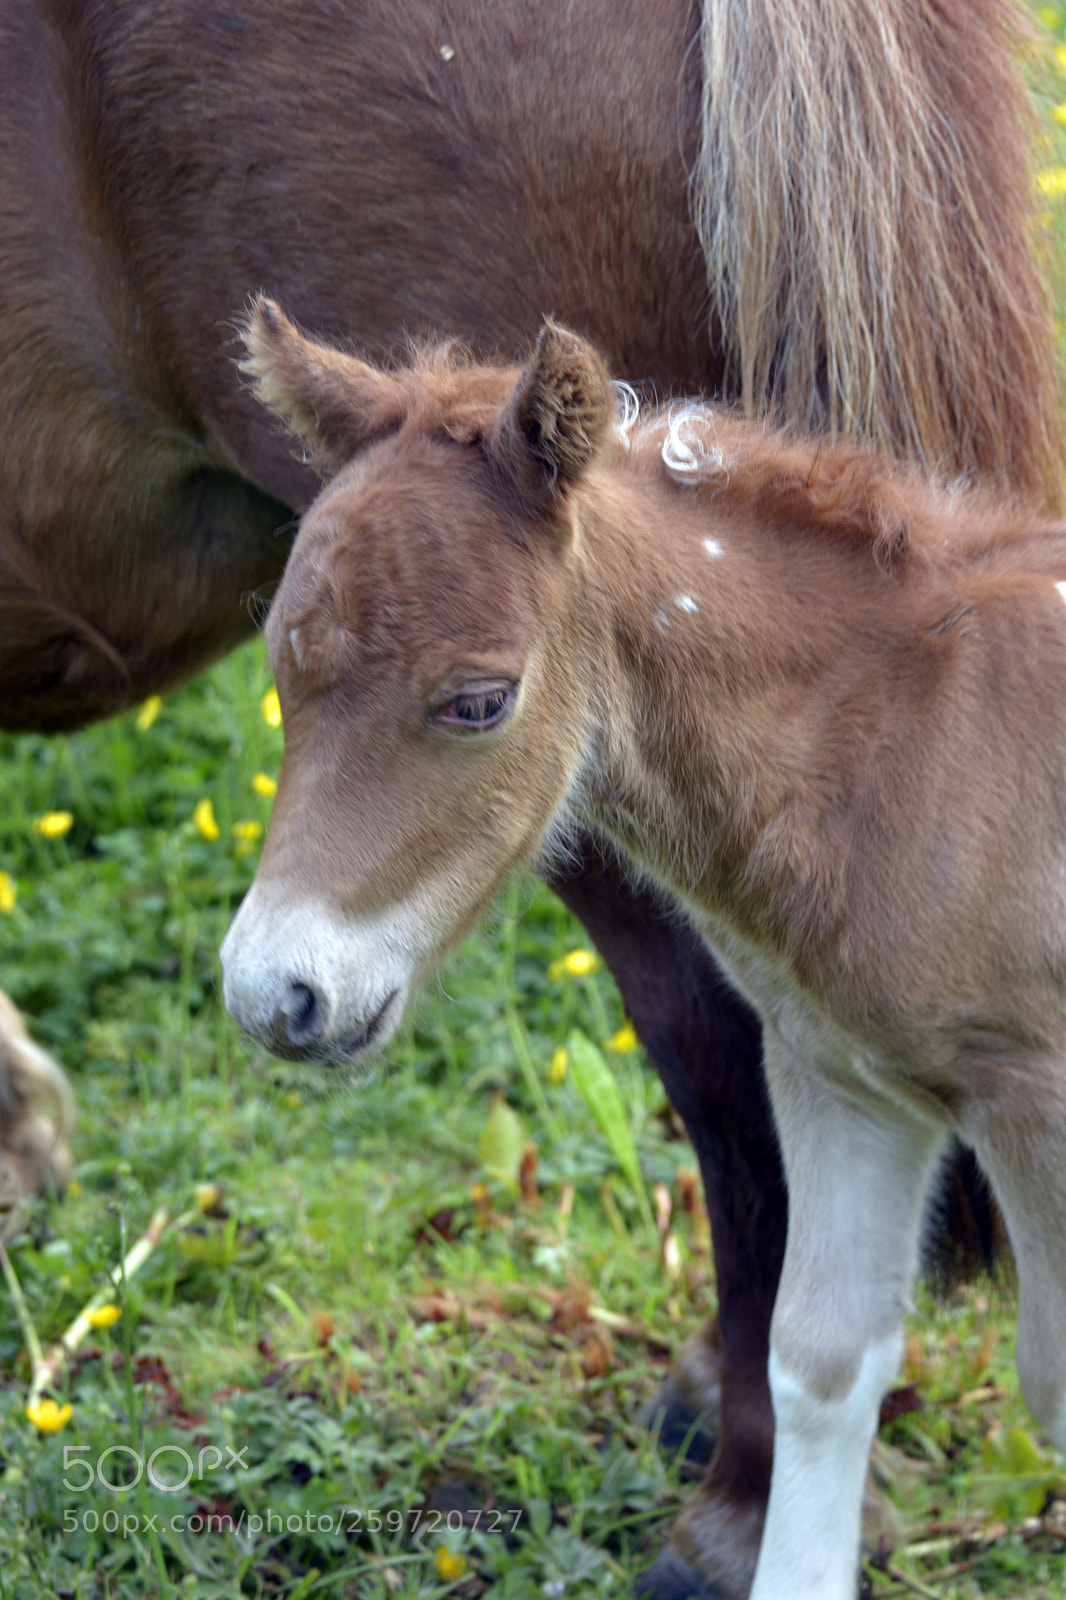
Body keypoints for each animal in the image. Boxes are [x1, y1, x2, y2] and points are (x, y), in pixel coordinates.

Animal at [222, 301, 1066, 1600]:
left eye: (479, 700)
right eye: (280, 656)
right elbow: (818, 1361)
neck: (906, 737)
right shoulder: (840, 1069)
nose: (275, 992)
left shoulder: (1033, 1097)